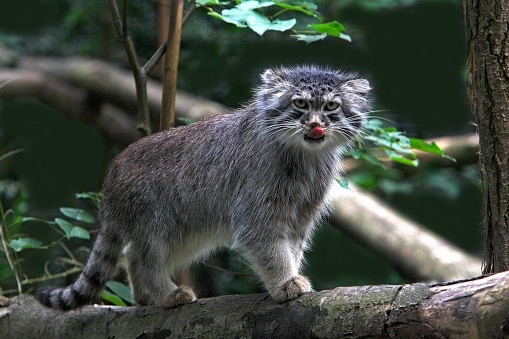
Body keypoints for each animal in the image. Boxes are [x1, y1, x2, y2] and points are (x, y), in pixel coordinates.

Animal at [34, 64, 370, 310]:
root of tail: (112, 174)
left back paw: (146, 298)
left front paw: (290, 275)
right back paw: (166, 295)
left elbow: (293, 248)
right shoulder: (257, 212)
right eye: (300, 103)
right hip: (157, 225)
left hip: (184, 233)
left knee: (130, 253)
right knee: (144, 260)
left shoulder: (302, 214)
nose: (316, 124)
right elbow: (273, 250)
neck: (305, 159)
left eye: (331, 106)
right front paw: (284, 282)